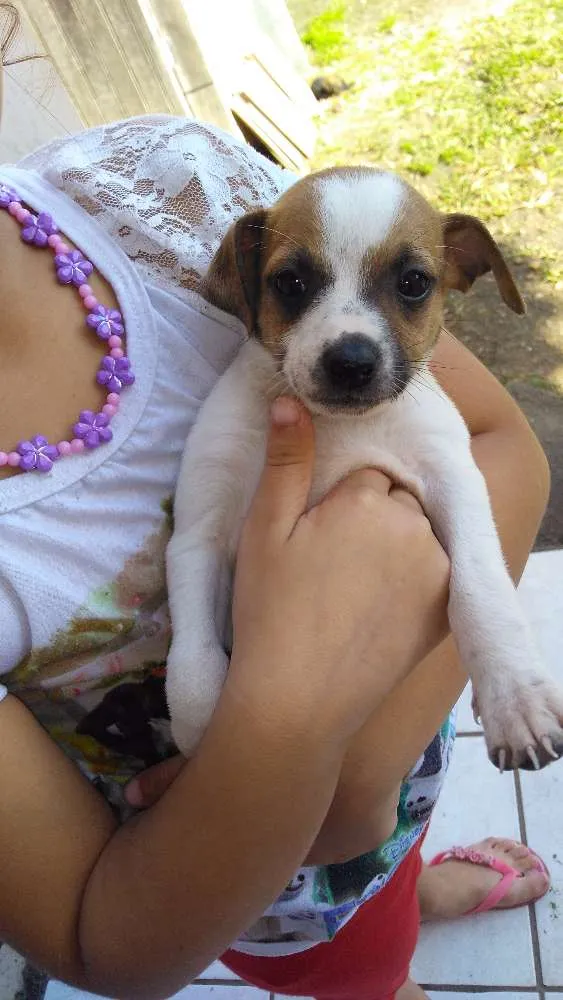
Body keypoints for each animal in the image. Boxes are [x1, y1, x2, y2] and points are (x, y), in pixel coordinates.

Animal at [164, 168, 563, 768]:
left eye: (414, 282)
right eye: (290, 282)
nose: (350, 362)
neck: (336, 429)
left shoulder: (455, 482)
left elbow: (480, 589)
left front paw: (514, 695)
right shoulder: (198, 534)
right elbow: (191, 667)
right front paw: (202, 739)